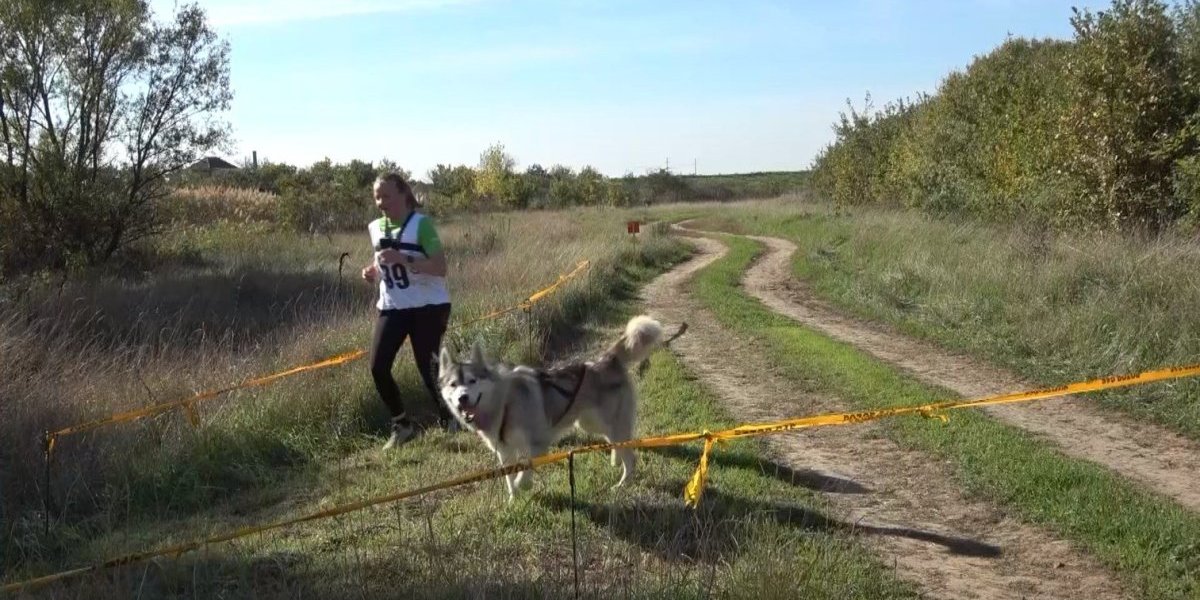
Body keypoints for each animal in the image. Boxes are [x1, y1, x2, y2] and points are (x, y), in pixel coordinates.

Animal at [439, 314, 686, 496]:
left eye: (472, 381)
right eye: (453, 385)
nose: (462, 398)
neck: (504, 402)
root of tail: (606, 360)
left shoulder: (537, 443)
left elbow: (524, 472)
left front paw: (523, 486)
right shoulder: (504, 451)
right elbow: (509, 479)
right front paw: (513, 500)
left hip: (609, 423)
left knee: (631, 456)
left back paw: (621, 485)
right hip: (591, 423)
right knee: (621, 443)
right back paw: (616, 459)